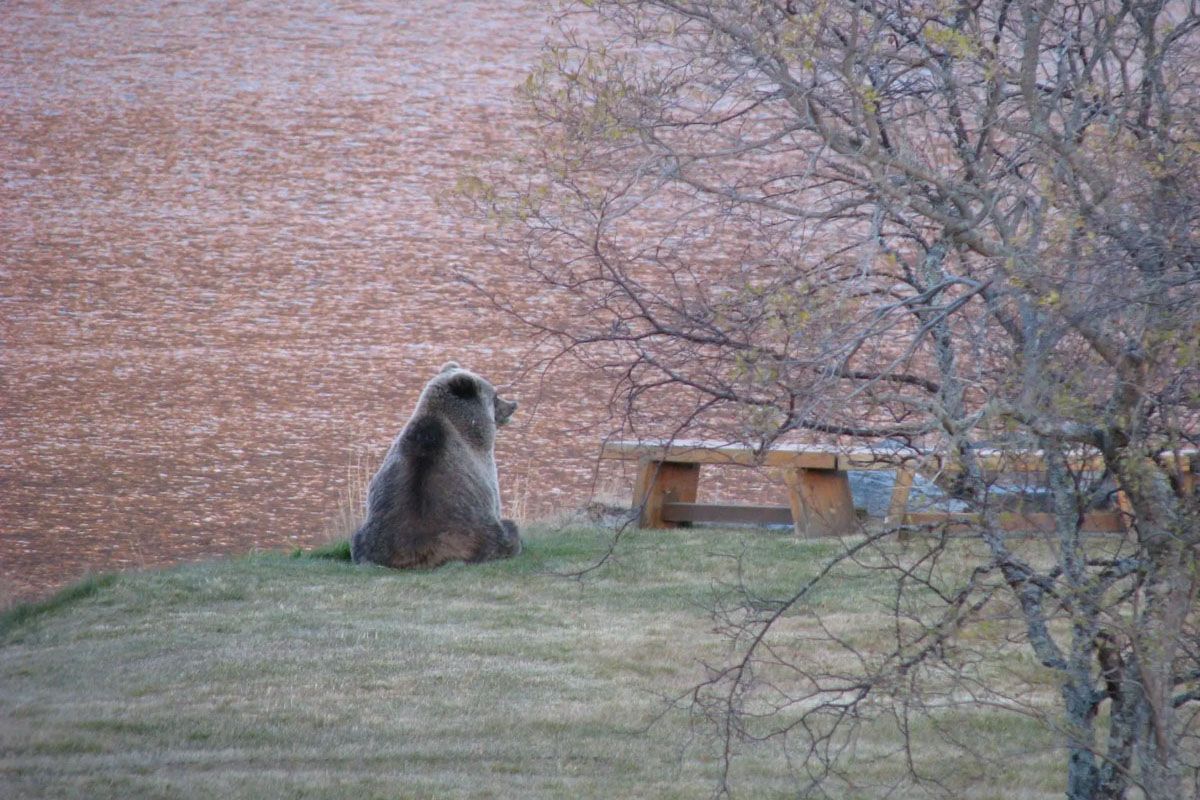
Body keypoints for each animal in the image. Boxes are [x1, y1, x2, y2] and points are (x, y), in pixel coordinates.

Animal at [350, 362, 521, 569]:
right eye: (495, 396)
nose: (513, 405)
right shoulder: (483, 469)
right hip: (483, 536)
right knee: (508, 532)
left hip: (370, 538)